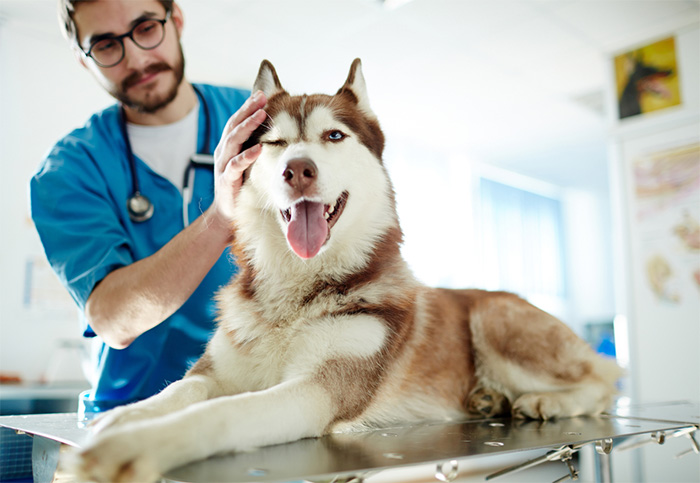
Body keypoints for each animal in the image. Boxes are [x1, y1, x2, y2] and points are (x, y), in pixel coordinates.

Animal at [69, 58, 616, 482]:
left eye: (334, 136)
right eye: (274, 144)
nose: (298, 169)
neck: (295, 292)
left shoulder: (317, 390)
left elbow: (221, 411)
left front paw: (134, 445)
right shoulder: (214, 371)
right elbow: (177, 391)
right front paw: (122, 420)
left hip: (494, 318)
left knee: (605, 378)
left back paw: (547, 402)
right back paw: (488, 398)